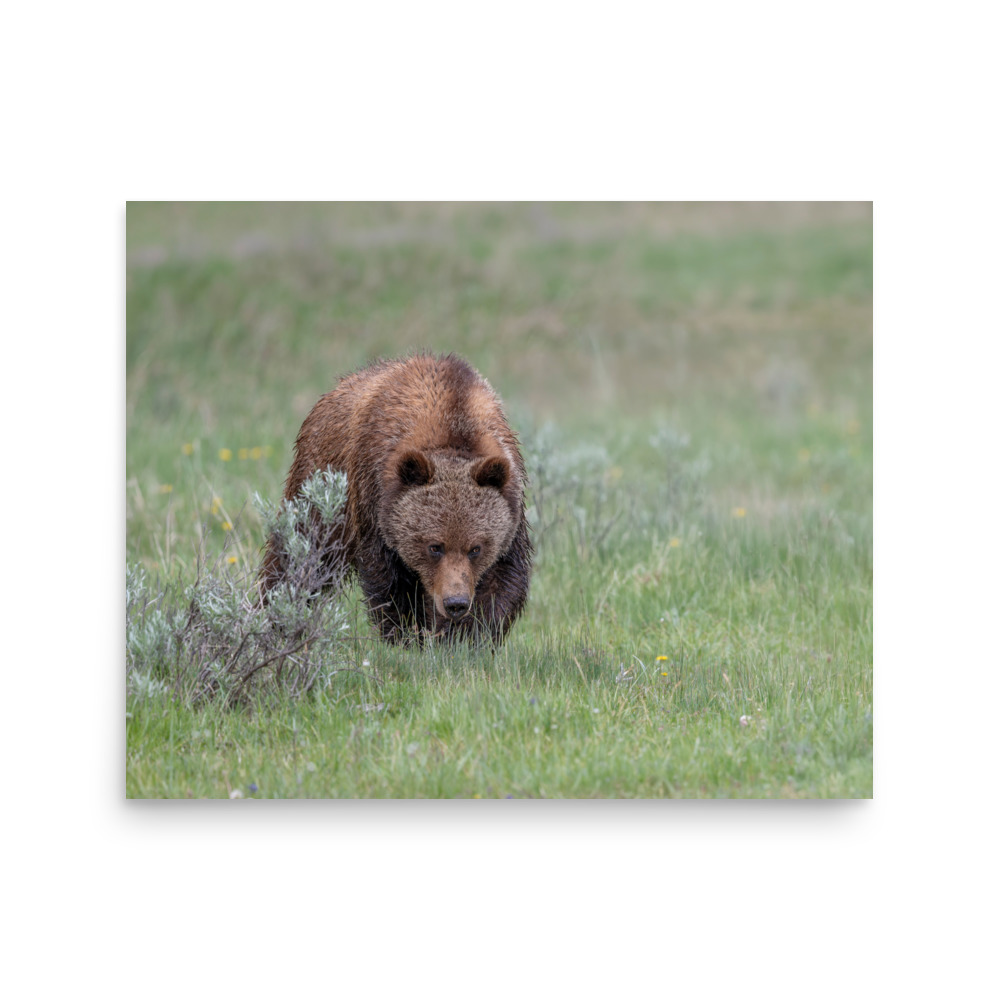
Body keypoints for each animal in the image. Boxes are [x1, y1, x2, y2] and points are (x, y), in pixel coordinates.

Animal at [260, 353, 532, 646]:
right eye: (434, 546)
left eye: (476, 548)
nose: (455, 603)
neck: (453, 424)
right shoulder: (374, 500)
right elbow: (390, 582)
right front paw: (407, 636)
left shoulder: (511, 508)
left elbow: (502, 580)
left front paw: (466, 638)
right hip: (321, 485)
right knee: (299, 553)